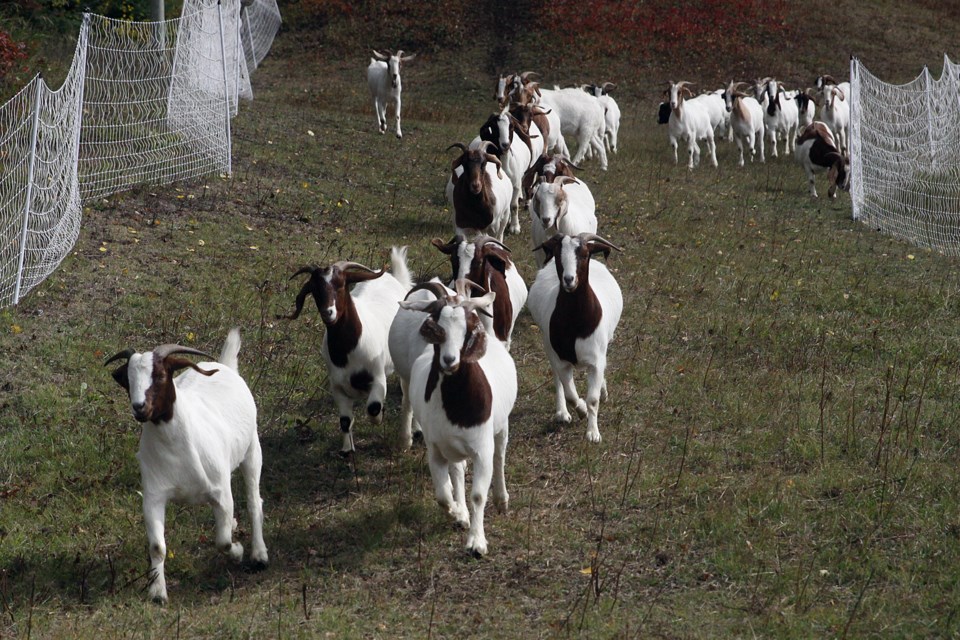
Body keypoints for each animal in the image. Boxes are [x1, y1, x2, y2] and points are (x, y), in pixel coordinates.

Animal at [105, 330, 268, 604]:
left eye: (160, 375)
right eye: (128, 380)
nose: (139, 408)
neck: (177, 450)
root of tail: (225, 365)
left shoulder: (221, 491)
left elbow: (223, 541)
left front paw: (237, 552)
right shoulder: (154, 496)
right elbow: (157, 547)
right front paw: (158, 593)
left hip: (252, 451)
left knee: (255, 501)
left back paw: (259, 555)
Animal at [280, 245, 410, 450]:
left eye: (341, 284)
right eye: (314, 290)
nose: (328, 312)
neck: (348, 352)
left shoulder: (378, 378)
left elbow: (373, 409)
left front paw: (379, 419)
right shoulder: (337, 387)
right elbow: (345, 421)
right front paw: (347, 450)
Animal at [400, 280, 516, 556]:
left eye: (469, 328)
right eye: (435, 326)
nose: (449, 360)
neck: (456, 406)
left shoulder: (481, 449)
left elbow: (479, 495)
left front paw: (477, 542)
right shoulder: (436, 449)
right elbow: (443, 495)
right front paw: (457, 513)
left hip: (501, 428)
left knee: (500, 457)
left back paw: (502, 500)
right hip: (452, 447)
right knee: (457, 471)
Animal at [524, 232, 624, 442]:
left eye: (584, 255)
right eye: (557, 254)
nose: (569, 279)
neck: (576, 324)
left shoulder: (596, 359)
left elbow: (593, 398)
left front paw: (593, 433)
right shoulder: (561, 359)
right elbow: (571, 394)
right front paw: (582, 410)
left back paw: (603, 391)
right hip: (548, 345)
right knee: (557, 379)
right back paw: (562, 413)